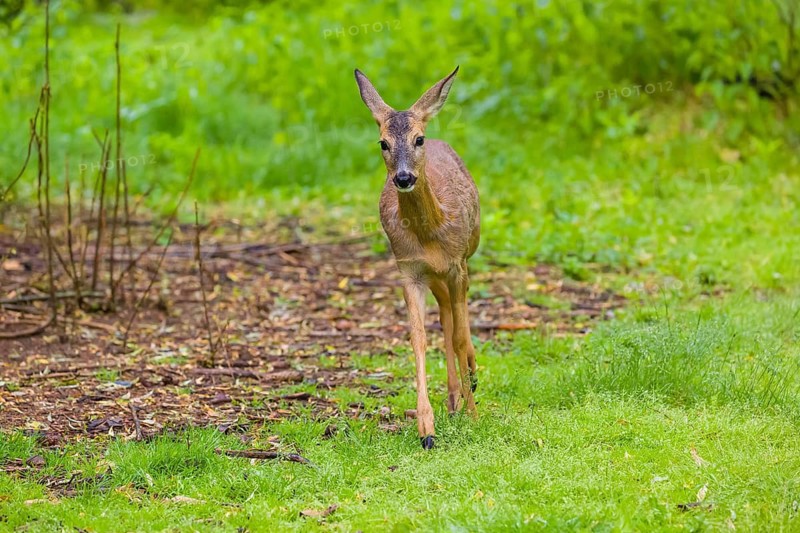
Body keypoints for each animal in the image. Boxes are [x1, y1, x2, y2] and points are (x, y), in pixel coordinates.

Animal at [354, 66, 480, 449]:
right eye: (383, 143)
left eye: (418, 139)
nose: (404, 176)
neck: (430, 235)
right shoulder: (409, 271)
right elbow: (418, 339)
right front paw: (427, 428)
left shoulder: (456, 265)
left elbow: (460, 336)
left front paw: (474, 415)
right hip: (434, 277)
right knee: (445, 316)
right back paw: (453, 399)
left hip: (468, 256)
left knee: (458, 322)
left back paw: (470, 383)